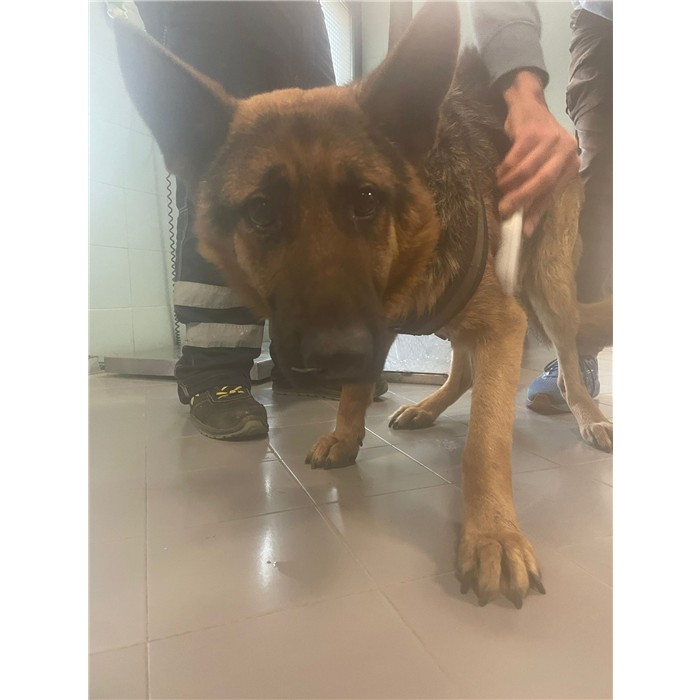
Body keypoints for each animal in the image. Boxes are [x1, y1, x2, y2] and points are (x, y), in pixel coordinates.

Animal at [113, 1, 612, 608]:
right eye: (261, 211)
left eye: (367, 200)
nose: (329, 355)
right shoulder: (384, 323)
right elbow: (357, 385)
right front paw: (347, 431)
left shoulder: (499, 321)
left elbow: (484, 446)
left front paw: (493, 534)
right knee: (463, 367)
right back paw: (429, 404)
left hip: (548, 286)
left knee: (566, 357)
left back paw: (587, 414)